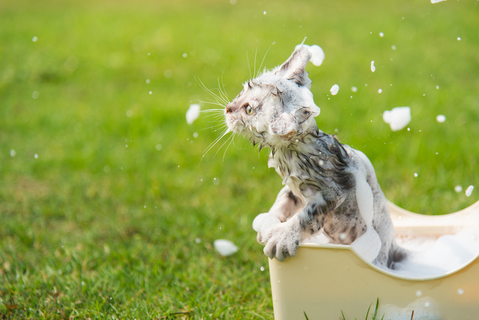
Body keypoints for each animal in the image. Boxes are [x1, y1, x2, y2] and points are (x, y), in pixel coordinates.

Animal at [224, 44, 404, 268]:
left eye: (248, 109)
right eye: (241, 93)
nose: (227, 108)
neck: (290, 154)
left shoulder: (332, 190)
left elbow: (306, 216)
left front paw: (284, 237)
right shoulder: (293, 186)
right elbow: (282, 200)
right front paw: (270, 220)